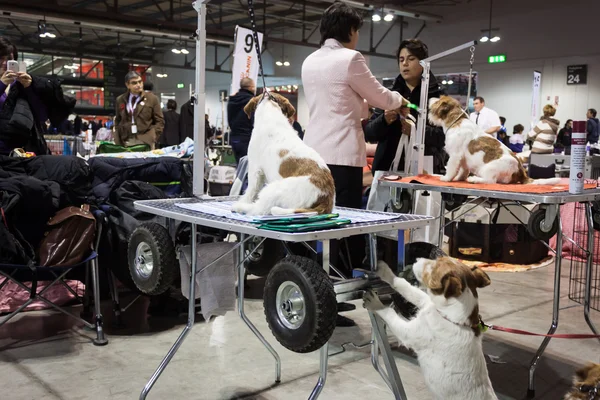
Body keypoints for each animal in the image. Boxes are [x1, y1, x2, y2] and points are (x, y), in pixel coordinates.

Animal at [364, 258, 500, 398]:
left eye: (433, 266)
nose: (416, 259)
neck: (450, 317)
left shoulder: (408, 333)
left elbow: (389, 312)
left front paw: (376, 303)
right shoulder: (426, 301)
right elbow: (404, 286)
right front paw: (386, 272)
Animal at [428, 96, 560, 185]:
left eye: (438, 100)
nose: (431, 98)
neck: (456, 122)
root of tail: (522, 172)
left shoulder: (455, 155)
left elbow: (451, 168)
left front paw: (446, 178)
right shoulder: (462, 160)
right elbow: (463, 170)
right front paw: (459, 178)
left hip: (489, 168)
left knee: (490, 180)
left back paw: (474, 179)